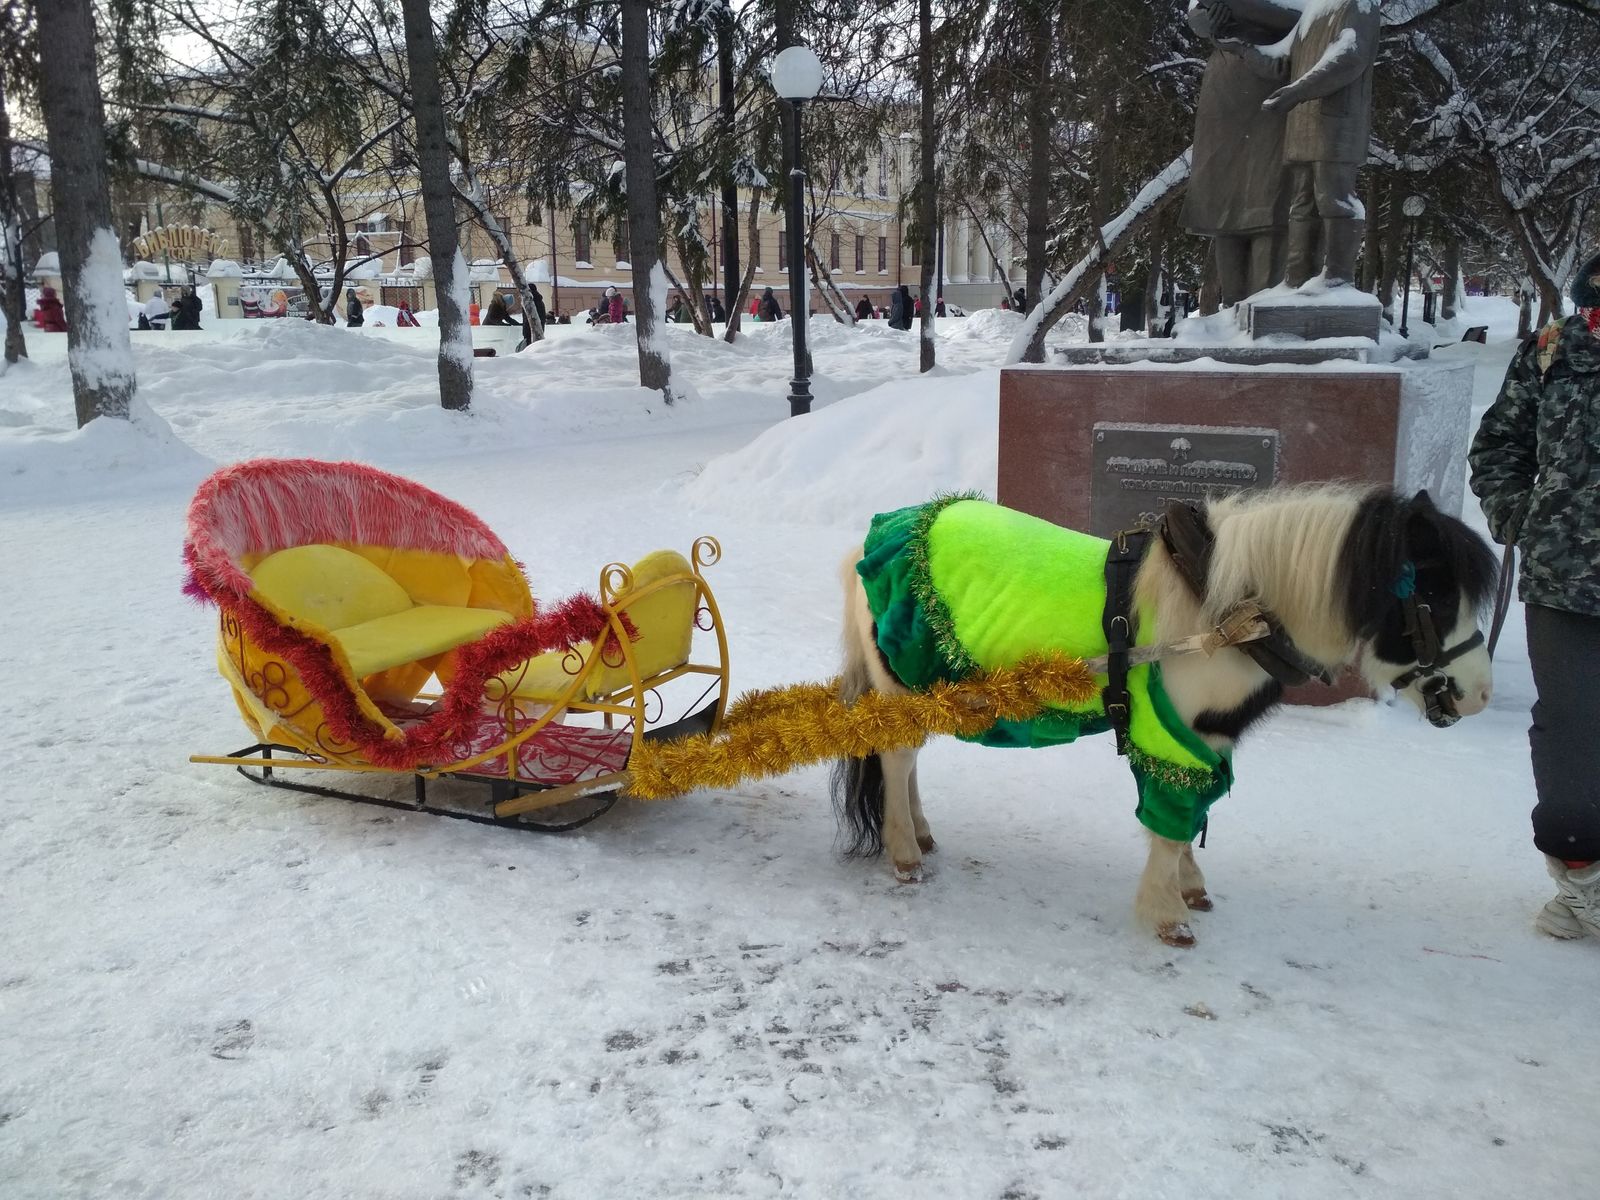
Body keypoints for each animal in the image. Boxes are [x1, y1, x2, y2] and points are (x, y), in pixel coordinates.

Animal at [838, 486, 1497, 947]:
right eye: (1435, 598)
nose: (1477, 696)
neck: (1225, 614)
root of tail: (871, 542)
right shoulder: (1168, 733)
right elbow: (1170, 821)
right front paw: (1168, 915)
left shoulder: (1210, 737)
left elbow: (1195, 812)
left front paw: (1191, 886)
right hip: (901, 680)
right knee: (897, 759)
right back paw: (905, 854)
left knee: (909, 761)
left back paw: (921, 832)